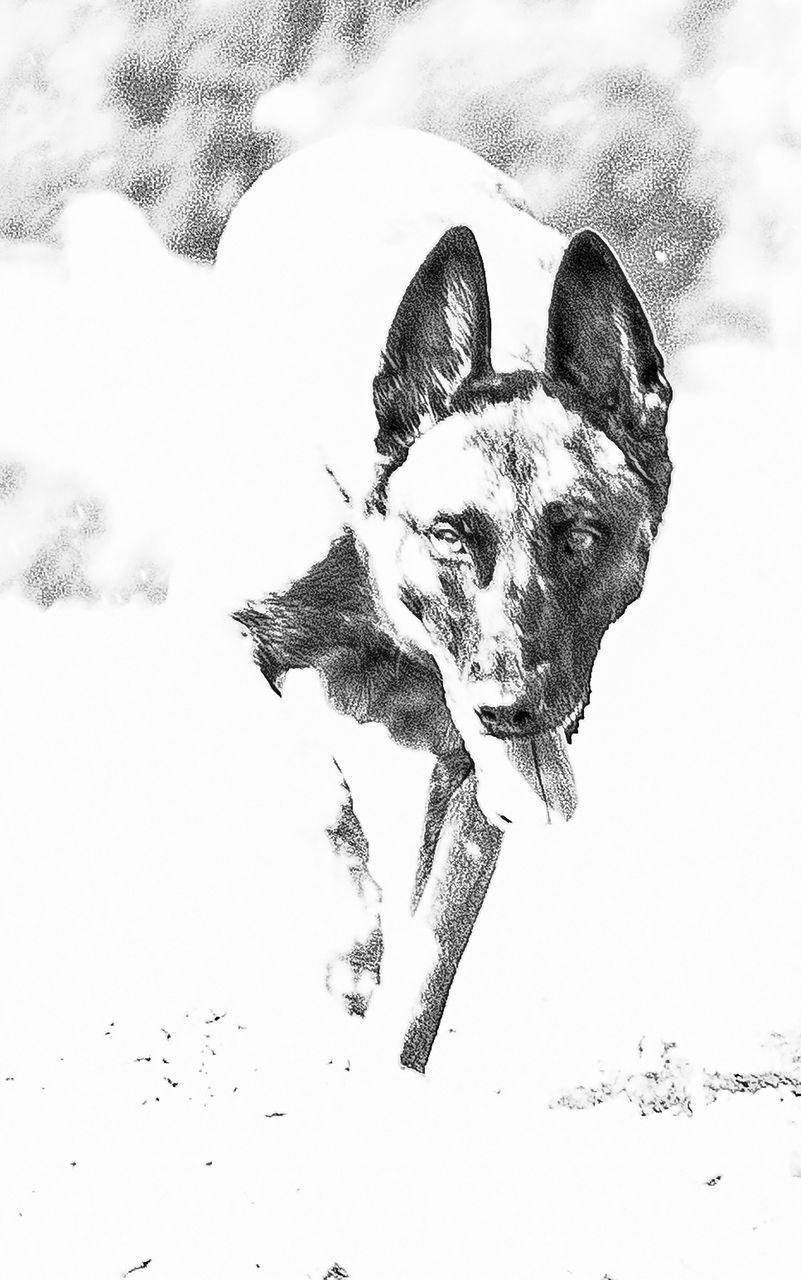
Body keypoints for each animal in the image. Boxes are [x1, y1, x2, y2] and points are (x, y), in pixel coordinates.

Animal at [212, 127, 665, 1070]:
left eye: (580, 537)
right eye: (450, 534)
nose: (511, 708)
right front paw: (351, 953)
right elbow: (320, 798)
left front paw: (387, 1062)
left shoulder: (476, 779)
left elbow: (434, 947)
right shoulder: (224, 641)